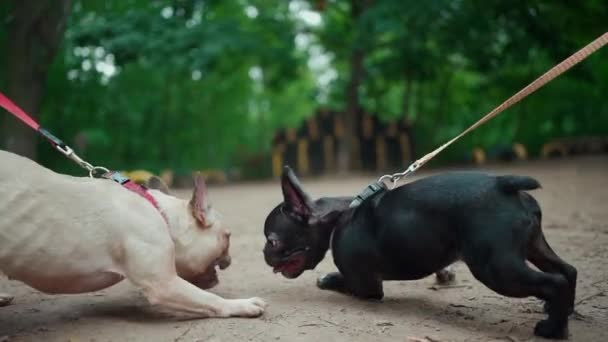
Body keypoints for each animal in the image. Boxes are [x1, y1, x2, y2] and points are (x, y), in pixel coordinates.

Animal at [0, 150, 266, 318]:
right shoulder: (164, 284)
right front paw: (241, 304)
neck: (162, 216)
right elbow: (210, 300)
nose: (229, 260)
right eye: (228, 237)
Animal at [264, 166, 576, 340]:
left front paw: (327, 279)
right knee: (568, 271)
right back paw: (562, 313)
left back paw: (552, 329)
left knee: (554, 281)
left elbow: (339, 281)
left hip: (496, 268)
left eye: (273, 241)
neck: (340, 215)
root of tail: (503, 185)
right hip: (533, 247)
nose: (264, 253)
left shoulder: (367, 287)